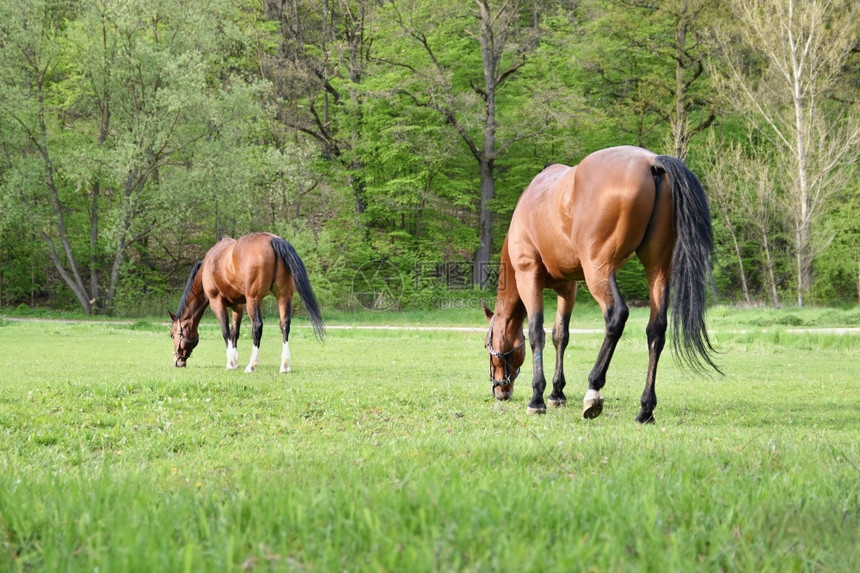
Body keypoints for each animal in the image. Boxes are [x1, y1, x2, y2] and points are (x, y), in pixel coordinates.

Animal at [170, 231, 324, 370]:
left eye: (172, 335)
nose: (177, 361)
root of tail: (272, 239)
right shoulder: (238, 306)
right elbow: (234, 332)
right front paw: (235, 361)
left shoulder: (216, 301)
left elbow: (225, 331)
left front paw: (230, 362)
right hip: (283, 296)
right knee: (285, 325)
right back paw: (285, 365)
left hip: (254, 299)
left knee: (257, 326)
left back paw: (252, 365)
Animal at [484, 145, 720, 422]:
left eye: (487, 346)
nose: (500, 390)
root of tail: (652, 162)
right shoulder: (568, 287)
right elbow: (560, 335)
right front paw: (557, 393)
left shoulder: (528, 275)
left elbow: (536, 333)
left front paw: (538, 398)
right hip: (658, 270)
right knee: (656, 329)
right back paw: (645, 408)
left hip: (599, 271)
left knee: (617, 316)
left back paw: (594, 390)